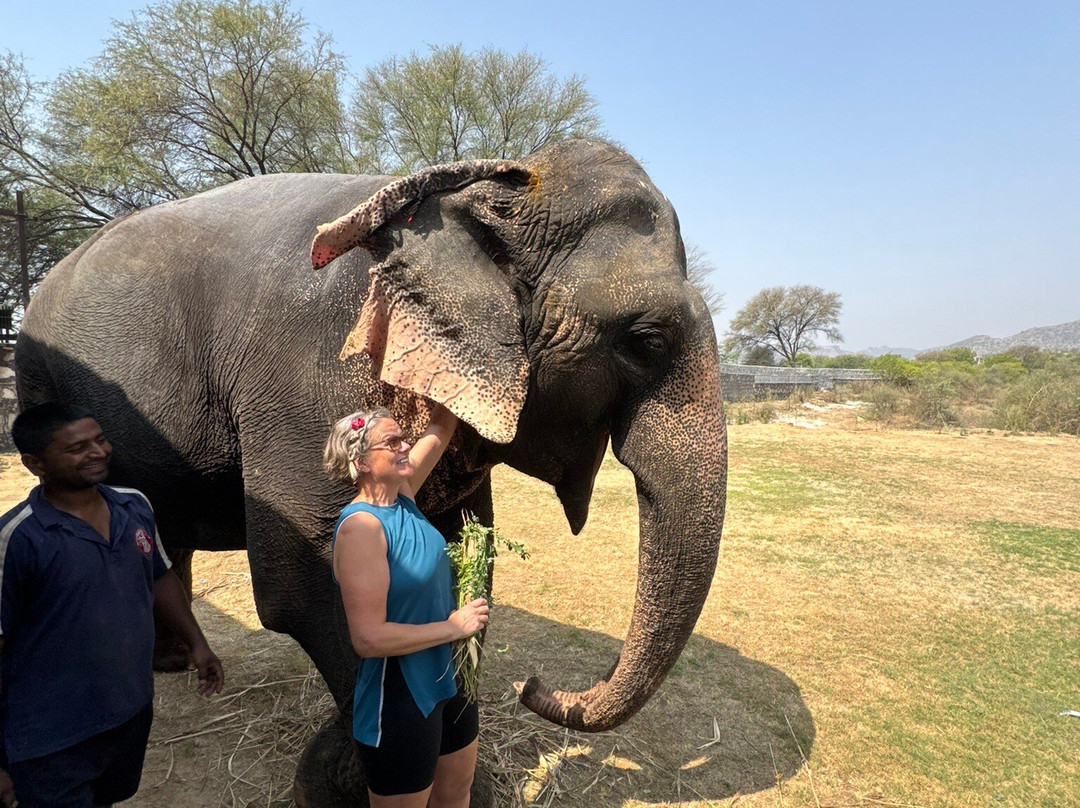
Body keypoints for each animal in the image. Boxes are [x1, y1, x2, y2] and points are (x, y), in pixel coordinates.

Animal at [15, 138, 727, 805]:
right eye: (646, 340)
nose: (534, 687)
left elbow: (461, 548)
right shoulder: (304, 383)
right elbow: (305, 588)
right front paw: (357, 777)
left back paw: (173, 664)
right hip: (39, 379)